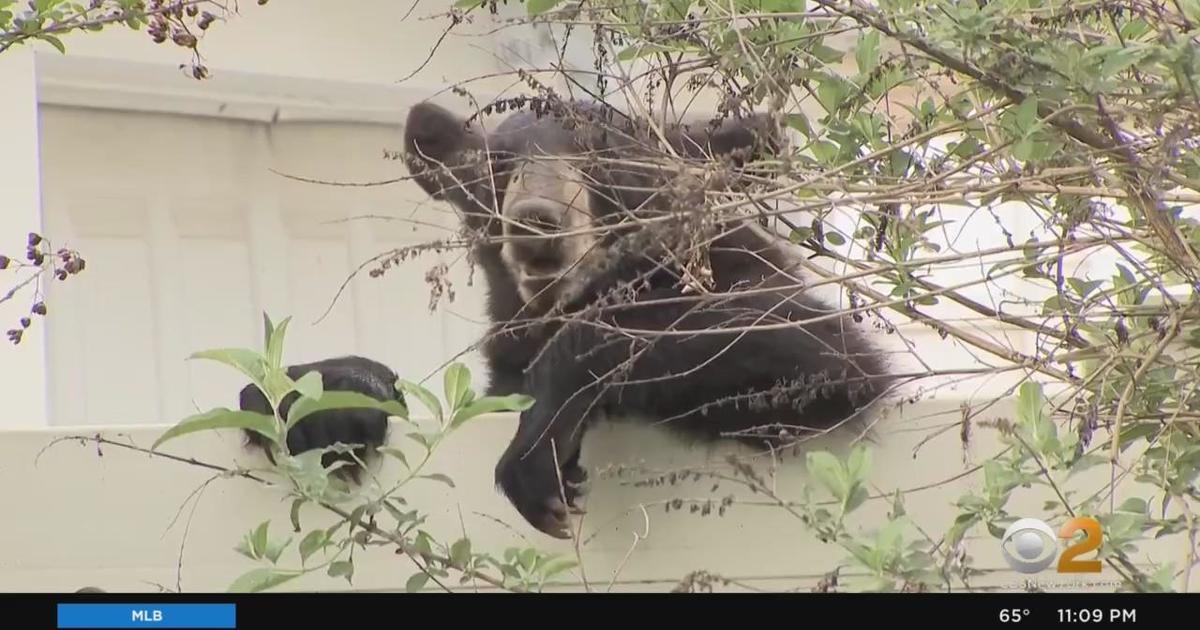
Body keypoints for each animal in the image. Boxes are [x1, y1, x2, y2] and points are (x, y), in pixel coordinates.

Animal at [403, 98, 892, 535]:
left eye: (598, 153)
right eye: (499, 162)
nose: (535, 220)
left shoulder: (745, 272)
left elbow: (819, 349)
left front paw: (538, 450)